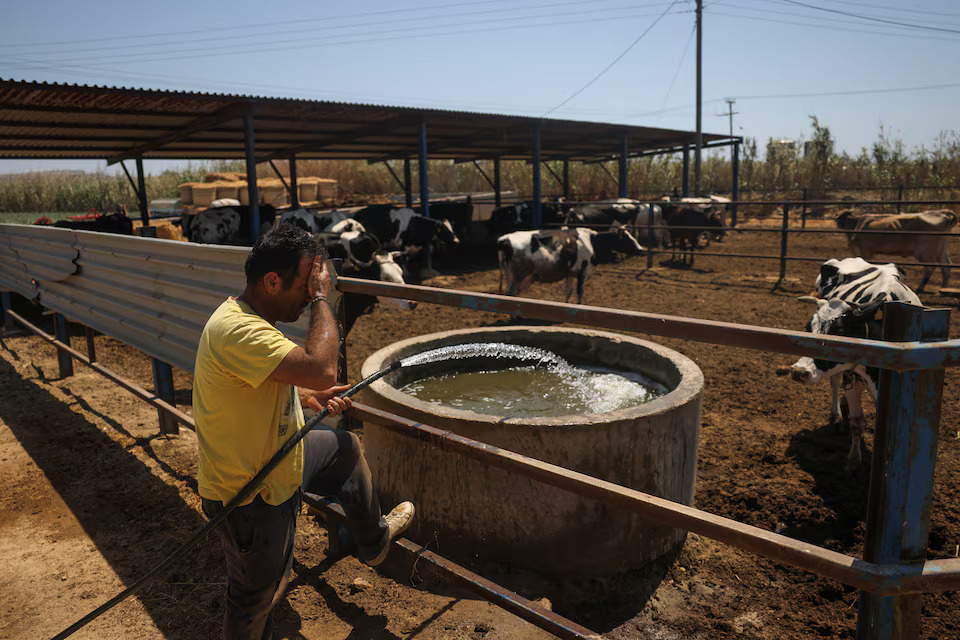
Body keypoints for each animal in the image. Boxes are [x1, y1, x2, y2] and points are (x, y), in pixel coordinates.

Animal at [780, 258, 924, 472]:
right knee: (835, 382)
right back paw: (837, 416)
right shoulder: (853, 377)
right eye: (807, 328)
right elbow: (857, 422)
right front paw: (853, 460)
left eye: (840, 332)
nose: (799, 372)